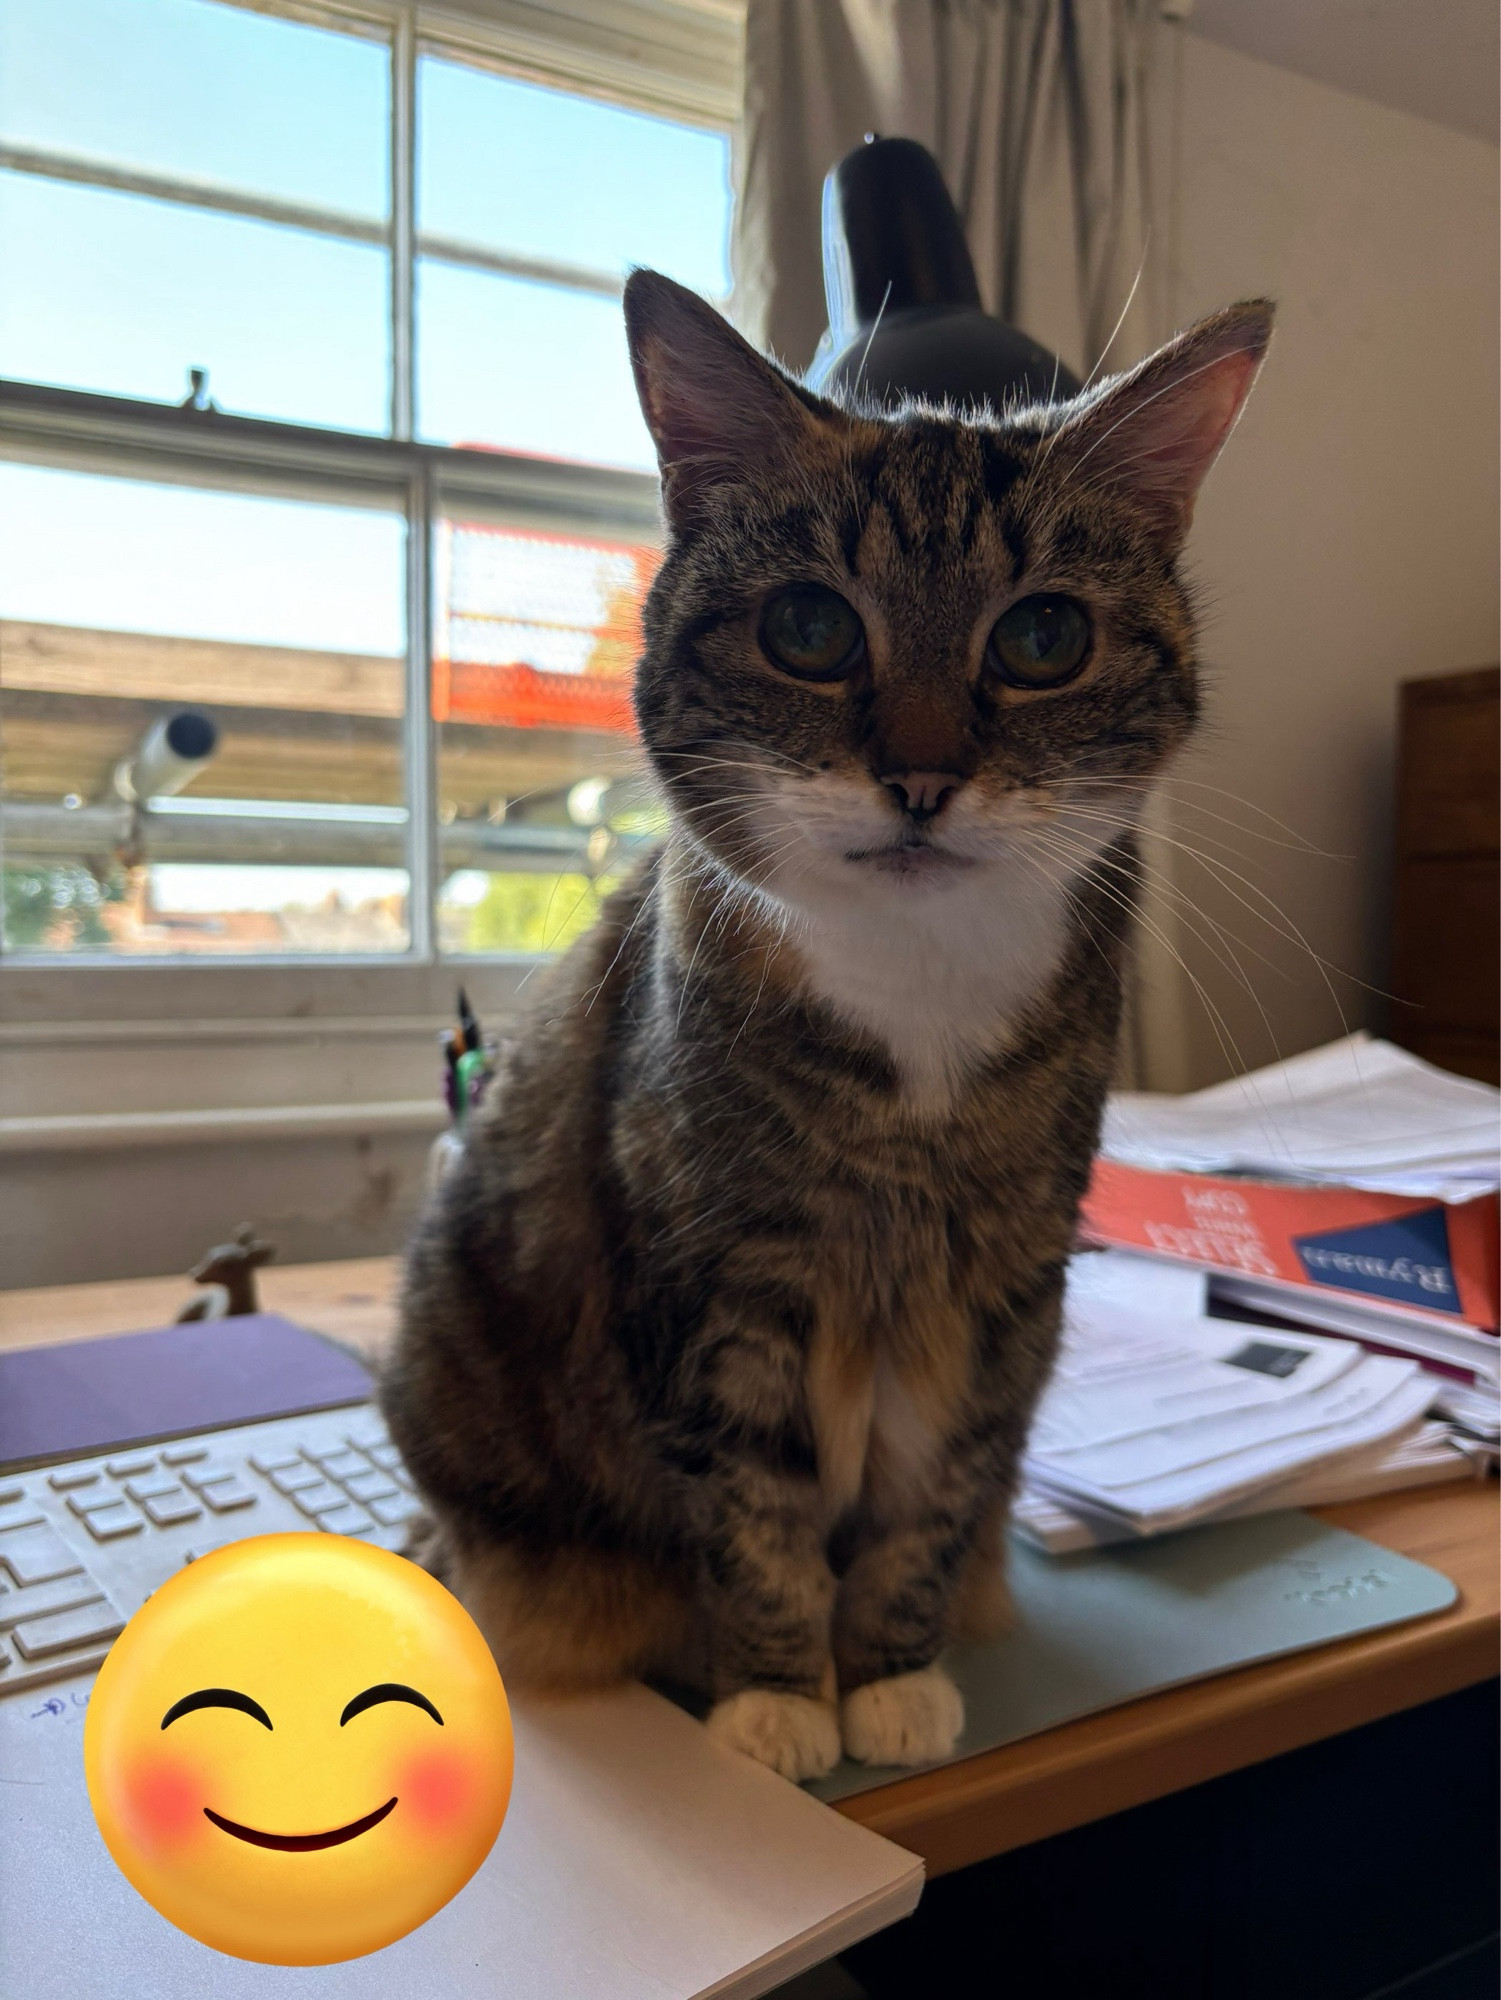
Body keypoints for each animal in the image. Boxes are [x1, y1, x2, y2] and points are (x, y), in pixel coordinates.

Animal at [382, 270, 1272, 1784]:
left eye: (1043, 637)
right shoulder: (716, 1281)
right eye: (808, 628)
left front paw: (893, 1677)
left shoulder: (996, 1280)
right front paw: (782, 1698)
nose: (919, 776)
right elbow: (752, 1510)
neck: (916, 990)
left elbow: (933, 1493)